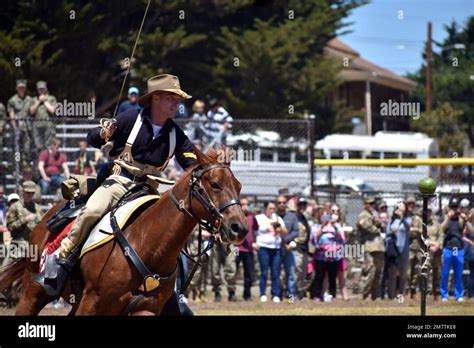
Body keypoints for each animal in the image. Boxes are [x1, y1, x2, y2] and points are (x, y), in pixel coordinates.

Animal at [4, 147, 248, 316]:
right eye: (214, 184)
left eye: (238, 186)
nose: (239, 228)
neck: (148, 243)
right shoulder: (91, 303)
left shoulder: (145, 310)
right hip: (34, 291)